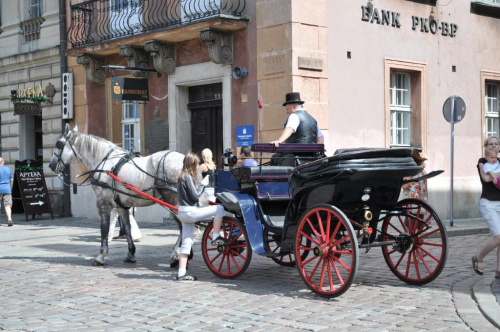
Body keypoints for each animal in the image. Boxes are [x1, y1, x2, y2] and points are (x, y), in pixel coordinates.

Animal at [48, 123, 185, 266]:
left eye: (58, 144)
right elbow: (128, 228)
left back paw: (176, 256)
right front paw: (131, 254)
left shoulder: (103, 203)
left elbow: (104, 228)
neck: (105, 163)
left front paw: (101, 255)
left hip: (172, 201)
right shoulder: (122, 206)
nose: (51, 165)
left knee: (183, 226)